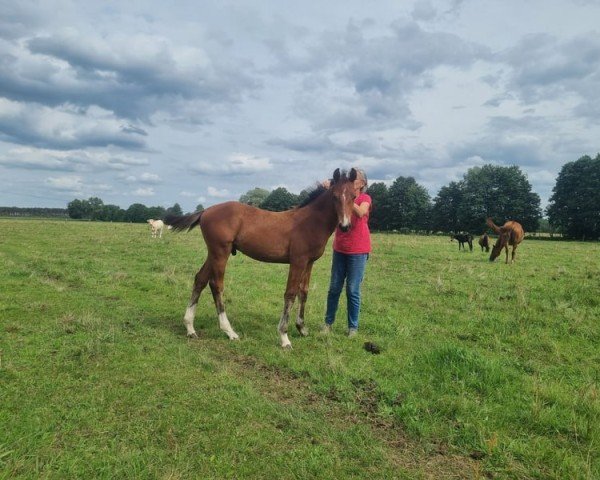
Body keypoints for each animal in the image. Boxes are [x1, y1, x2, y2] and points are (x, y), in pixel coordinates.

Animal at [165, 169, 356, 348]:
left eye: (354, 196)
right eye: (334, 196)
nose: (345, 226)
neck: (309, 222)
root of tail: (206, 211)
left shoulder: (309, 262)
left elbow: (304, 292)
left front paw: (302, 328)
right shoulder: (298, 261)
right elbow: (290, 294)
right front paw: (284, 337)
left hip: (213, 253)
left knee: (200, 279)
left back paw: (190, 328)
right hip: (220, 252)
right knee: (216, 284)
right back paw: (229, 331)